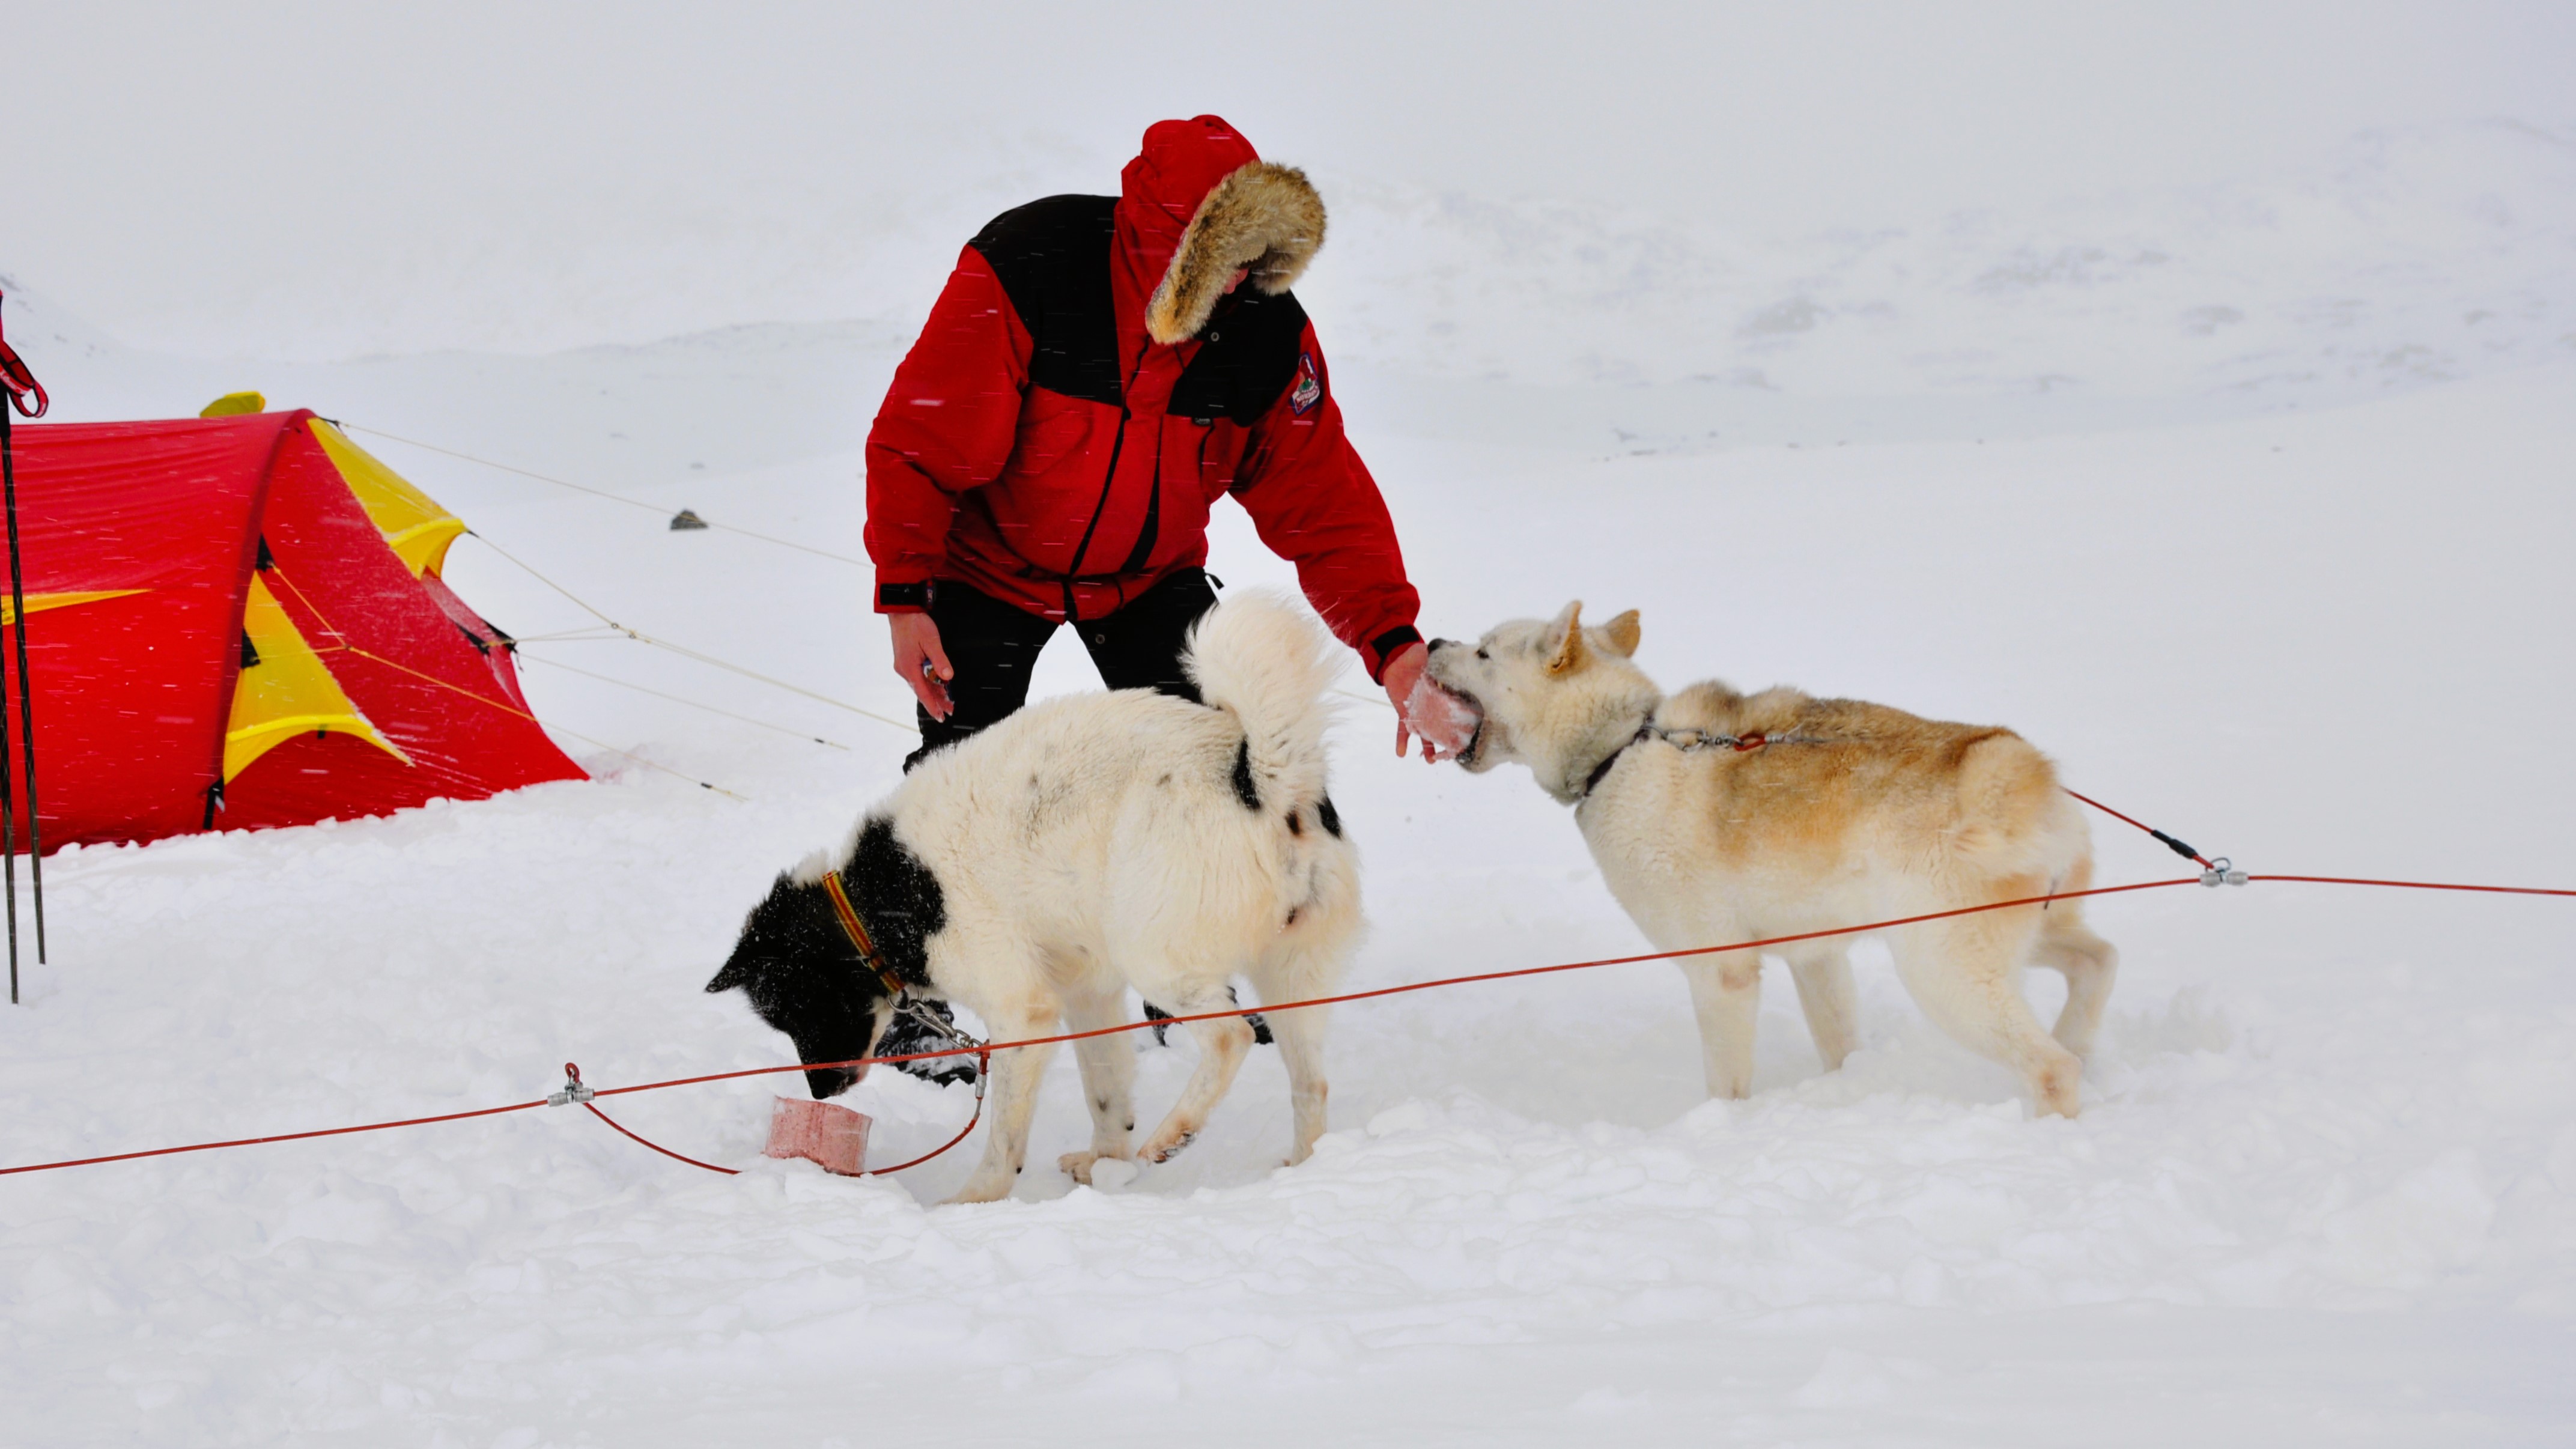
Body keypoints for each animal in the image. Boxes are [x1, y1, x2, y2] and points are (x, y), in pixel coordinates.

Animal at [707, 592, 1359, 1203]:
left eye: (794, 1008)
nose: (819, 1092)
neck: (882, 896)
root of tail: (1256, 776)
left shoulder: (1024, 1014)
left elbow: (1003, 1142)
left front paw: (974, 1202)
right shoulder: (1087, 994)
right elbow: (1106, 1091)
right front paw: (1106, 1165)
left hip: (1159, 959)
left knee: (1231, 1038)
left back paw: (1175, 1133)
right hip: (1290, 980)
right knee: (1312, 1083)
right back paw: (1301, 1168)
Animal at [1419, 603, 2117, 1116]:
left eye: (1484, 651)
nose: (1432, 641)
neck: (1622, 750)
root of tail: (2018, 769)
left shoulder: (1720, 972)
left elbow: (1725, 1085)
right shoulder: (1817, 957)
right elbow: (1840, 1045)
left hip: (1942, 971)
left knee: (2051, 1066)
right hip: (2014, 940)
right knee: (2099, 961)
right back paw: (2081, 1041)